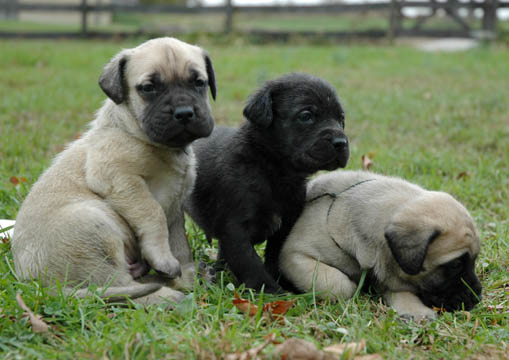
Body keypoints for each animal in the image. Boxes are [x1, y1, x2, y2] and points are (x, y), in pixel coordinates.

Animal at [187, 73, 350, 292]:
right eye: (306, 116)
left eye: (341, 119)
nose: (341, 143)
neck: (271, 168)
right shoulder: (235, 229)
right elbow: (249, 262)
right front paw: (271, 291)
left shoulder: (285, 225)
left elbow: (274, 257)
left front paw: (282, 283)